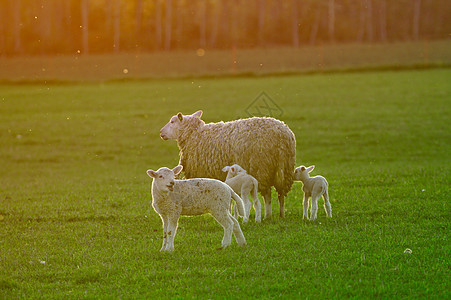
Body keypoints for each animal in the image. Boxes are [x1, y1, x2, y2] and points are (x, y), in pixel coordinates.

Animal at [160, 110, 296, 220]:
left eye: (172, 121)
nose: (161, 132)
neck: (194, 135)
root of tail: (282, 135)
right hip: (284, 169)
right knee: (281, 195)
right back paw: (281, 214)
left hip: (262, 167)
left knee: (267, 195)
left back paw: (267, 216)